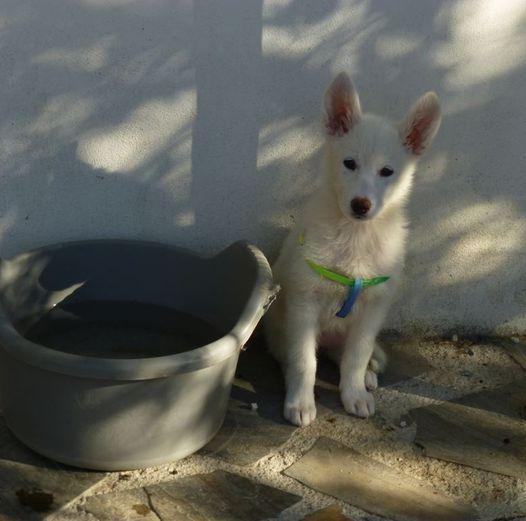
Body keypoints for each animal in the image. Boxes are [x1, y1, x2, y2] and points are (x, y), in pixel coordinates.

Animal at [266, 71, 444, 424]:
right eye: (349, 163)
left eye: (387, 172)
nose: (361, 205)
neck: (355, 236)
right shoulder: (304, 303)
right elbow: (304, 361)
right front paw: (300, 402)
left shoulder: (373, 308)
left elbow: (357, 356)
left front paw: (354, 393)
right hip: (282, 326)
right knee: (296, 354)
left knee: (346, 353)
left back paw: (369, 375)